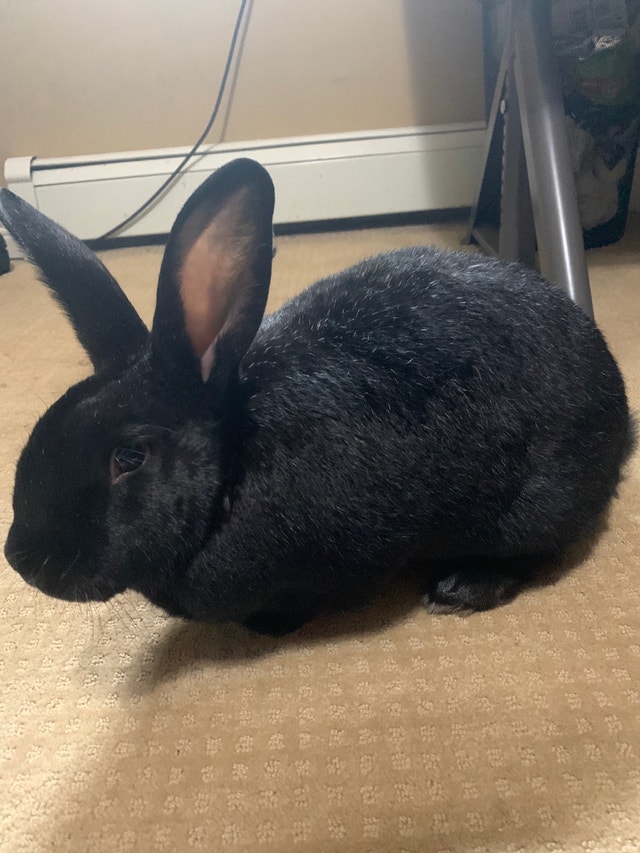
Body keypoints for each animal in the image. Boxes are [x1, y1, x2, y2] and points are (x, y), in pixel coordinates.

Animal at [0, 158, 635, 636]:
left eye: (128, 458)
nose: (23, 561)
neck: (230, 471)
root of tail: (617, 412)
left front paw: (269, 625)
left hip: (533, 506)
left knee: (546, 550)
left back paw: (463, 588)